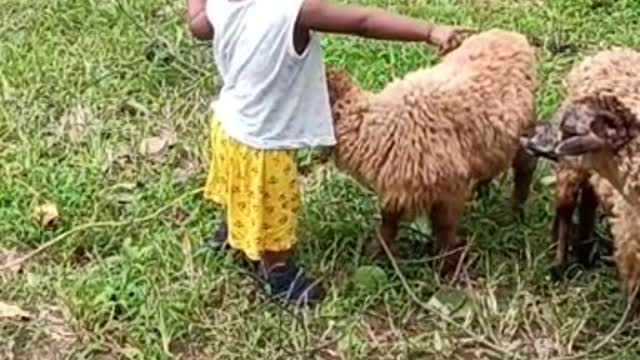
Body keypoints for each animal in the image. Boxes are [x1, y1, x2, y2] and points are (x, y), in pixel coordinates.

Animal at [324, 29, 540, 278]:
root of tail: (510, 34)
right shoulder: (398, 184)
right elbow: (388, 223)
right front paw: (377, 254)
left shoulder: (449, 186)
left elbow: (445, 229)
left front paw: (447, 270)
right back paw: (484, 191)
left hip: (524, 126)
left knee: (525, 166)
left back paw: (515, 213)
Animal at [524, 48, 640, 318]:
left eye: (569, 130)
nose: (527, 133)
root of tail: (606, 51)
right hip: (572, 171)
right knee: (566, 211)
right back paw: (560, 265)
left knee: (587, 202)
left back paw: (585, 252)